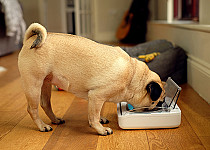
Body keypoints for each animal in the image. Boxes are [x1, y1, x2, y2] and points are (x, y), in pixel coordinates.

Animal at [18, 22, 166, 135]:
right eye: (158, 101)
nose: (161, 105)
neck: (132, 76)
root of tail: (29, 40)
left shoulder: (95, 98)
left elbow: (95, 112)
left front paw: (100, 119)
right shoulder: (97, 96)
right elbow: (93, 116)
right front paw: (101, 129)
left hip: (45, 83)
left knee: (45, 104)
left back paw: (55, 120)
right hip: (34, 84)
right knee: (32, 109)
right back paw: (42, 126)